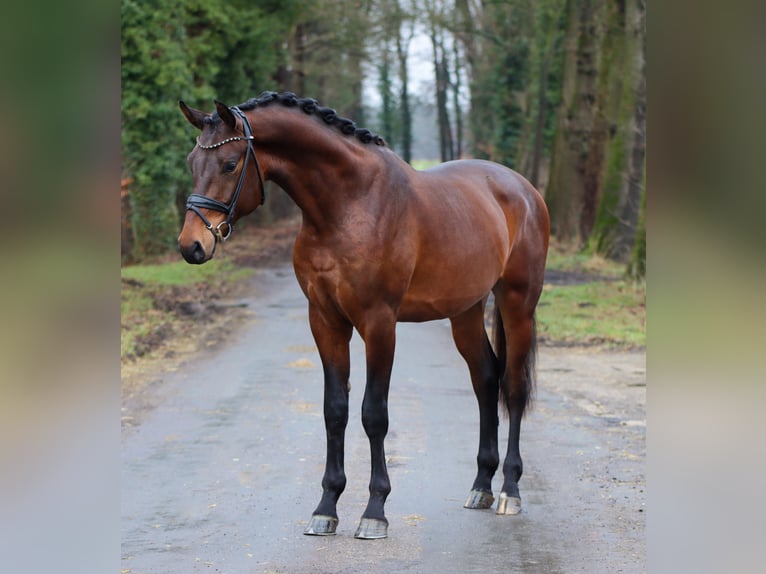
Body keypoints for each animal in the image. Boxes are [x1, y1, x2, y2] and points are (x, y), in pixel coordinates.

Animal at [177, 91, 550, 539]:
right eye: (192, 163)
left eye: (230, 164)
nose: (191, 246)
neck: (349, 204)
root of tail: (522, 188)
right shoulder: (325, 320)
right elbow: (334, 410)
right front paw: (326, 508)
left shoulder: (379, 323)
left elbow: (374, 414)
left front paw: (374, 511)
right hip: (466, 310)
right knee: (486, 379)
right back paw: (481, 486)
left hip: (517, 303)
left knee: (513, 386)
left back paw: (510, 490)